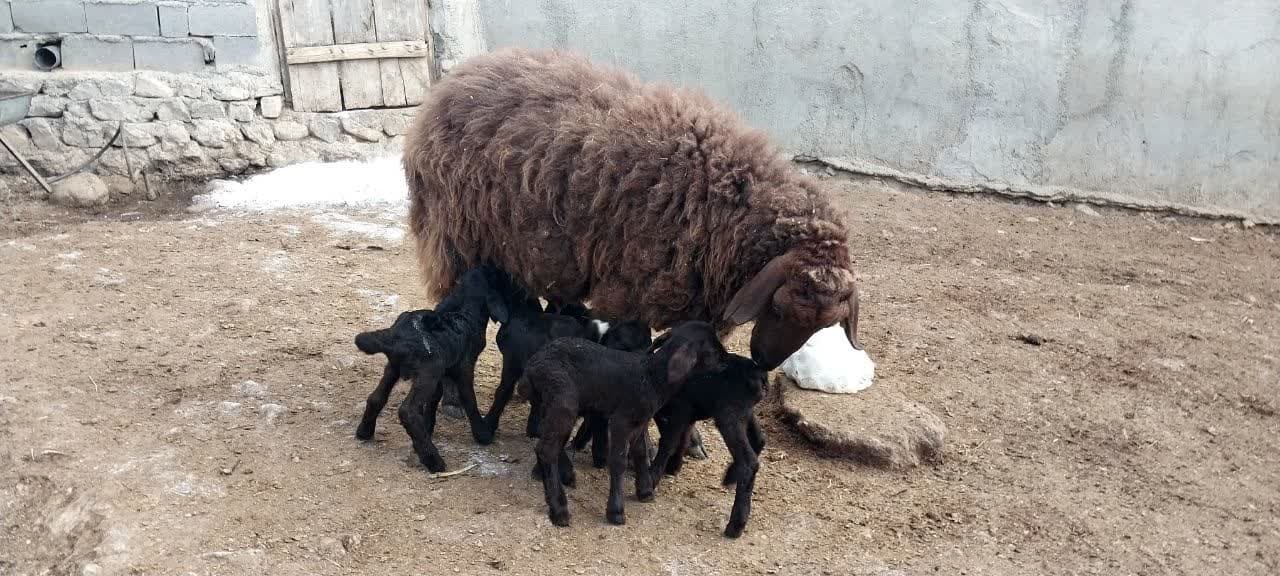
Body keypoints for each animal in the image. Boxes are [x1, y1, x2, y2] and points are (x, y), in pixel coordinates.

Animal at [404, 46, 865, 368]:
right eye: (781, 306)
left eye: (823, 326)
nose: (764, 362)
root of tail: (450, 82)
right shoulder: (630, 292)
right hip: (454, 237)